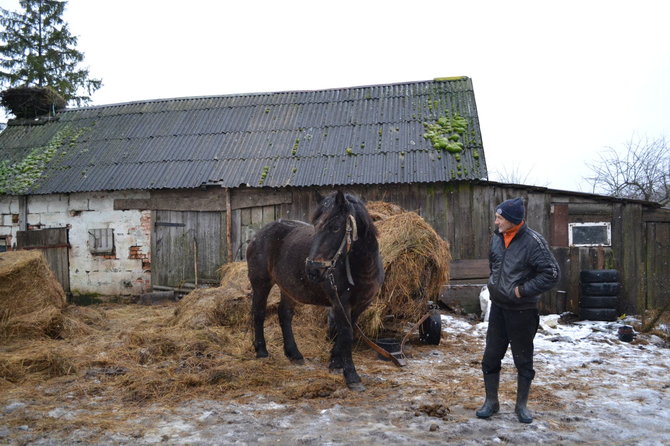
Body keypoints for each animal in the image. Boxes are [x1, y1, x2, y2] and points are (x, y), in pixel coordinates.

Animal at [247, 192, 386, 390]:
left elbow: (345, 331)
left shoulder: (361, 304)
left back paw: (294, 354)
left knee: (285, 315)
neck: (361, 268)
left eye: (335, 228)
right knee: (259, 313)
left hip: (287, 288)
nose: (312, 269)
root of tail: (258, 235)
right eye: (316, 227)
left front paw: (336, 363)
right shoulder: (340, 302)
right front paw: (352, 377)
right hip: (261, 283)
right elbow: (346, 333)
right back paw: (262, 351)